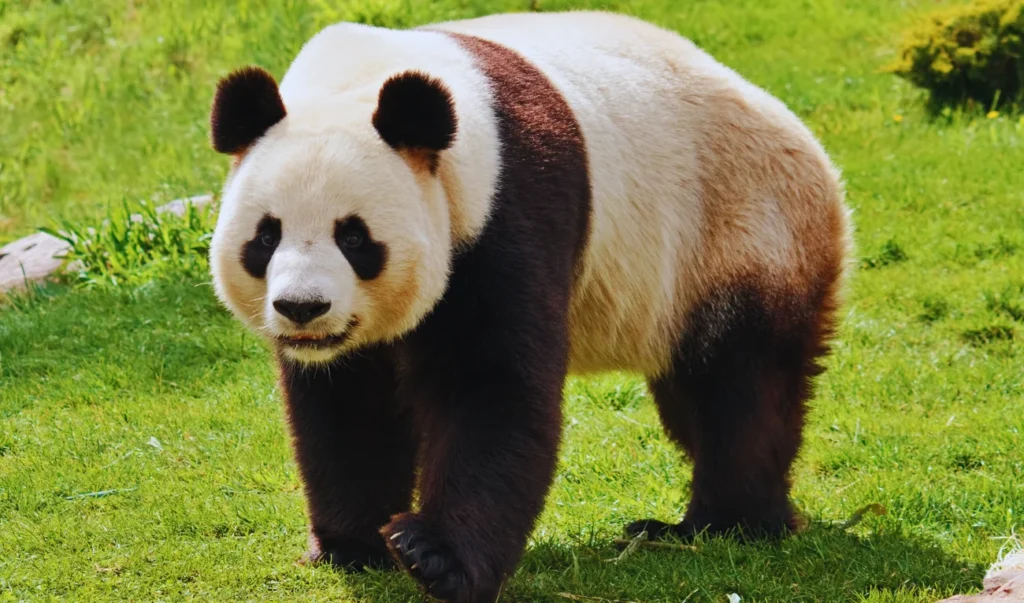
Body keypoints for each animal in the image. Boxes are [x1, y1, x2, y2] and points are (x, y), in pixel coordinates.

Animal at [203, 9, 851, 601]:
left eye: (355, 238)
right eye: (266, 236)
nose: (302, 308)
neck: (360, 82)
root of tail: (818, 158)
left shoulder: (504, 208)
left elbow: (492, 385)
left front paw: (433, 556)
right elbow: (349, 404)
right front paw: (352, 546)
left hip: (738, 230)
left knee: (740, 386)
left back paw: (731, 524)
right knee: (693, 397)